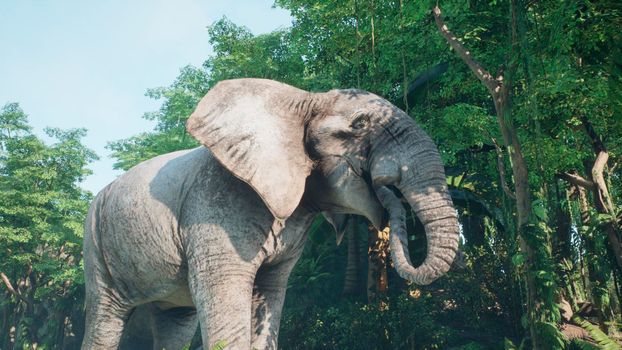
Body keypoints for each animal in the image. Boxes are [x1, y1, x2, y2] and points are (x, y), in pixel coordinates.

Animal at [81, 78, 464, 350]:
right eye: (359, 124)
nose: (386, 188)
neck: (306, 99)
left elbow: (270, 294)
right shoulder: (215, 205)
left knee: (176, 322)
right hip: (95, 246)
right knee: (106, 320)